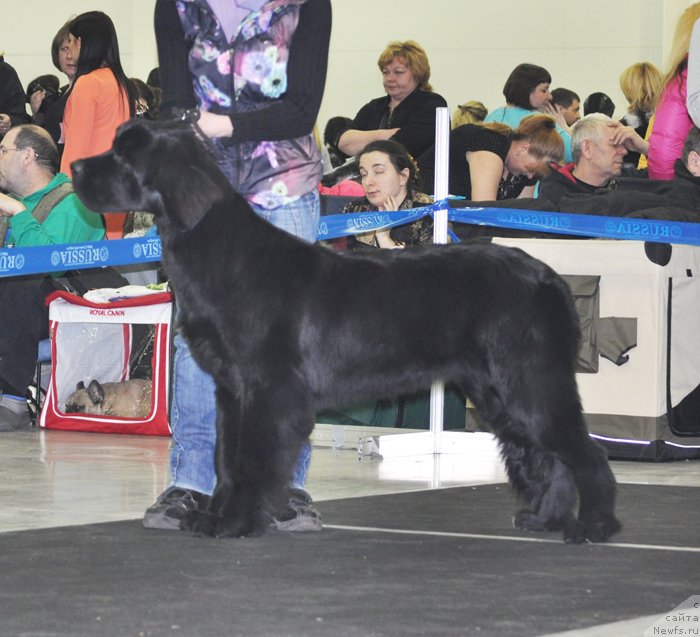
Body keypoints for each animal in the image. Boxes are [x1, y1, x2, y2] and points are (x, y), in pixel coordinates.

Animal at [71, 119, 616, 540]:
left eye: (125, 153)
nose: (75, 167)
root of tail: (548, 277)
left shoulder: (268, 389)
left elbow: (252, 461)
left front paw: (236, 523)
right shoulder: (230, 389)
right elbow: (227, 458)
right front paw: (215, 517)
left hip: (529, 380)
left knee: (584, 453)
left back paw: (595, 526)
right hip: (500, 391)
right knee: (552, 457)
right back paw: (545, 521)